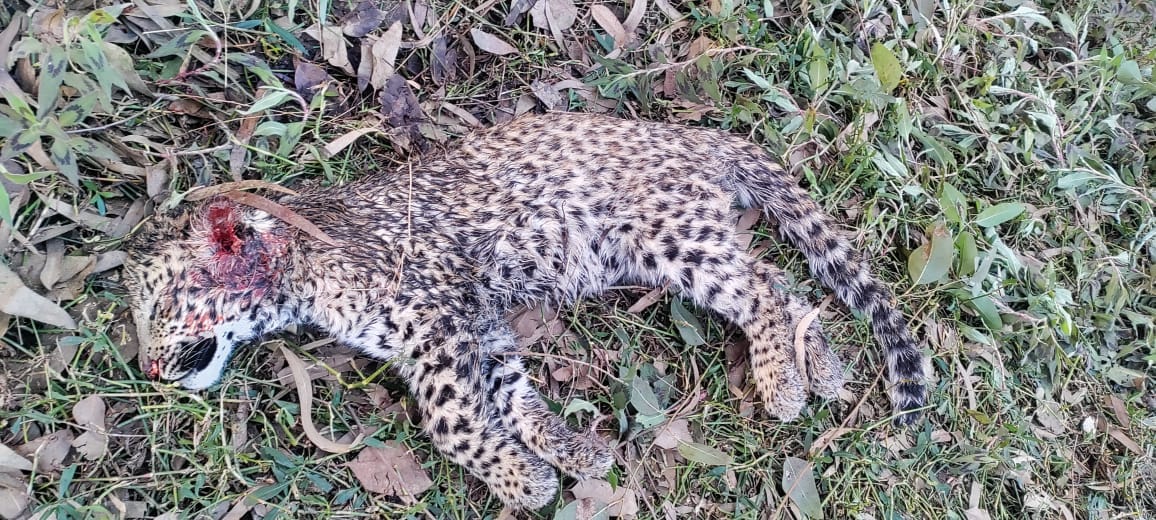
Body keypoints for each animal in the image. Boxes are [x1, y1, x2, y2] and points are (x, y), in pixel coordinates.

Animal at [122, 112, 929, 510]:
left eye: (161, 303)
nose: (150, 369)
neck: (301, 264)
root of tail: (692, 135)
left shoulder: (434, 318)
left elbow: (452, 421)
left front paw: (521, 481)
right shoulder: (477, 324)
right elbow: (513, 398)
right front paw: (565, 457)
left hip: (669, 236)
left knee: (762, 291)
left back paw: (784, 384)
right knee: (788, 287)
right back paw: (823, 372)